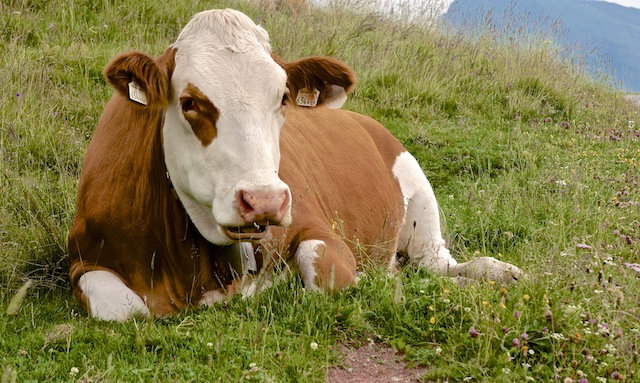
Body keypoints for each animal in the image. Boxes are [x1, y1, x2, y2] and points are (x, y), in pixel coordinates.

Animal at [67, 8, 524, 320]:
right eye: (190, 102)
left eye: (283, 97)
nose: (264, 199)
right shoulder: (83, 259)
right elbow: (124, 308)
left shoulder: (320, 232)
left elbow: (323, 271)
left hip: (420, 198)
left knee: (440, 263)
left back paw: (501, 272)